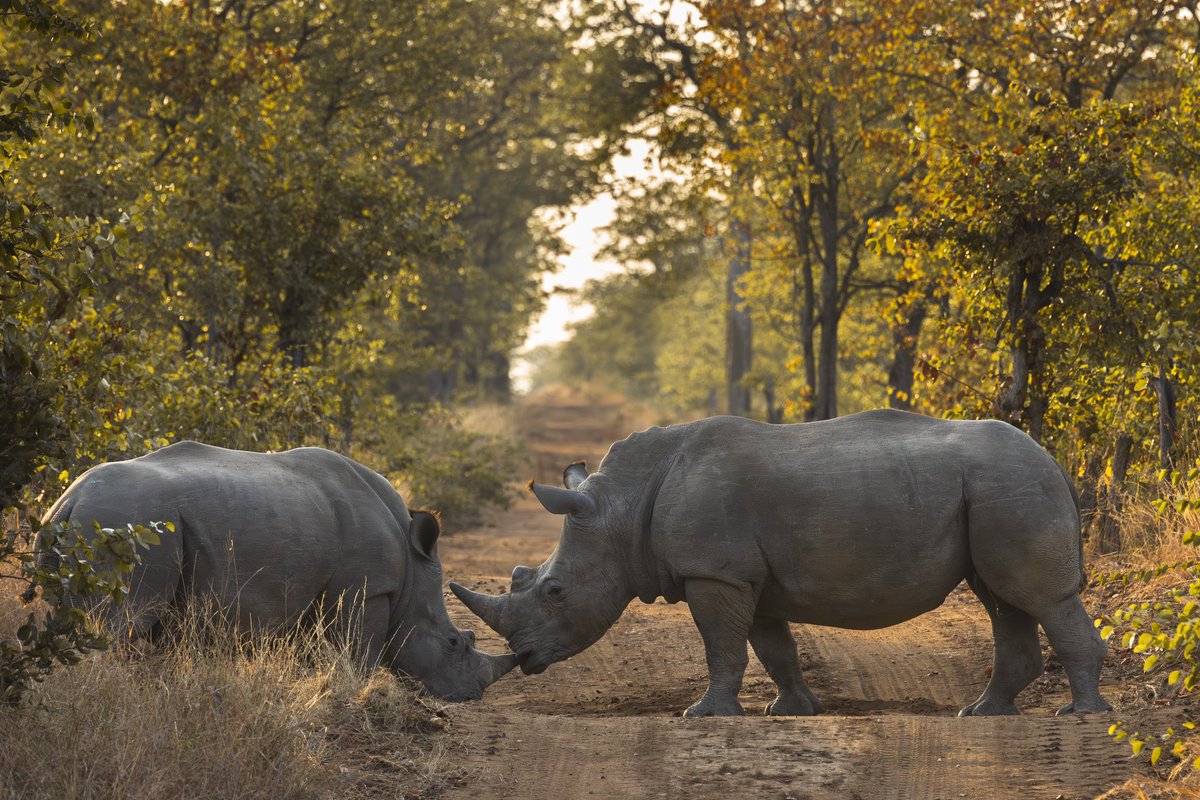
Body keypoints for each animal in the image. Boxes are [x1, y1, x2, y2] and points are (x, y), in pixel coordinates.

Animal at [36, 443, 516, 700]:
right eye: (455, 642)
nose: (472, 694)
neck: (414, 570)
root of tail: (68, 502)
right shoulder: (367, 589)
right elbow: (358, 655)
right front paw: (353, 694)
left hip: (96, 525)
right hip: (126, 523)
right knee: (115, 624)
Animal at [451, 410, 1113, 714]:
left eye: (555, 592)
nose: (524, 659)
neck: (621, 508)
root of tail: (1054, 460)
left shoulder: (713, 571)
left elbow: (722, 646)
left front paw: (704, 714)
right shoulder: (745, 575)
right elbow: (773, 647)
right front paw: (791, 709)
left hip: (1012, 485)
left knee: (1038, 598)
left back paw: (1079, 714)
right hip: (997, 489)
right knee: (1004, 599)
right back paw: (980, 713)